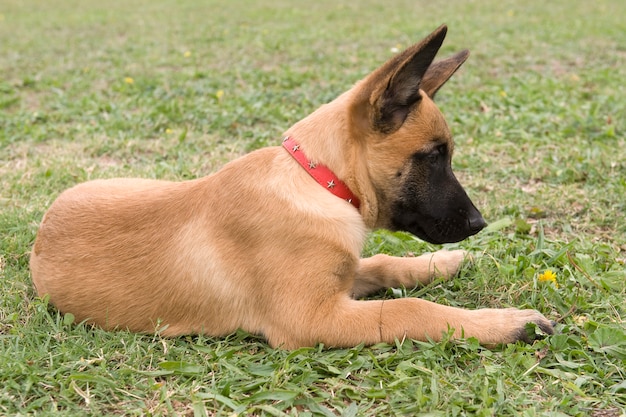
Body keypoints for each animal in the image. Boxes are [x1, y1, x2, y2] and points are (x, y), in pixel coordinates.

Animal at [31, 24, 552, 346]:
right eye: (433, 156)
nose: (479, 223)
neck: (319, 181)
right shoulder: (314, 317)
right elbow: (414, 310)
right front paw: (505, 323)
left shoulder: (339, 282)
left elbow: (381, 263)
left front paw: (439, 263)